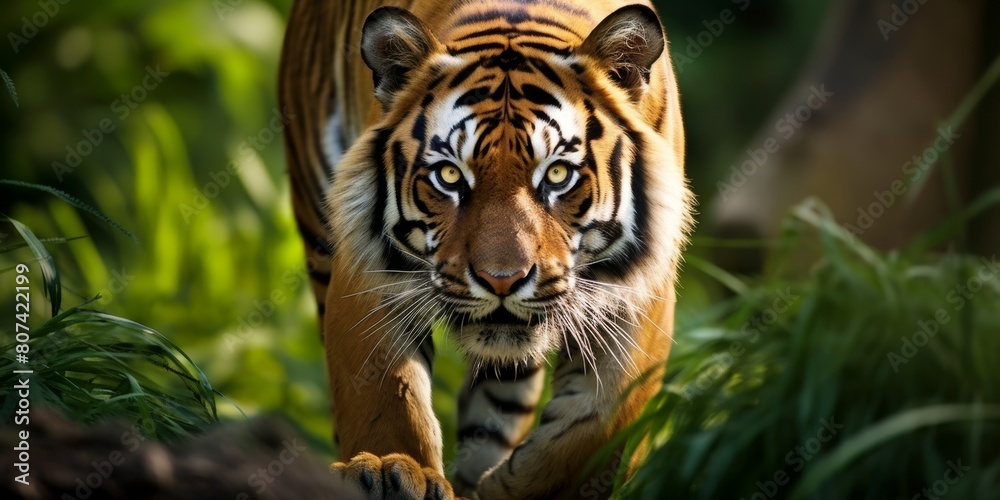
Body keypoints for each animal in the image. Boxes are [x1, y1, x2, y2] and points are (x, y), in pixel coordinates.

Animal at [278, 0, 693, 498]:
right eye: (450, 176)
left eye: (557, 175)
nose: (502, 280)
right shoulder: (366, 268)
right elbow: (384, 395)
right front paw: (389, 468)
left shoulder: (639, 294)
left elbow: (594, 430)